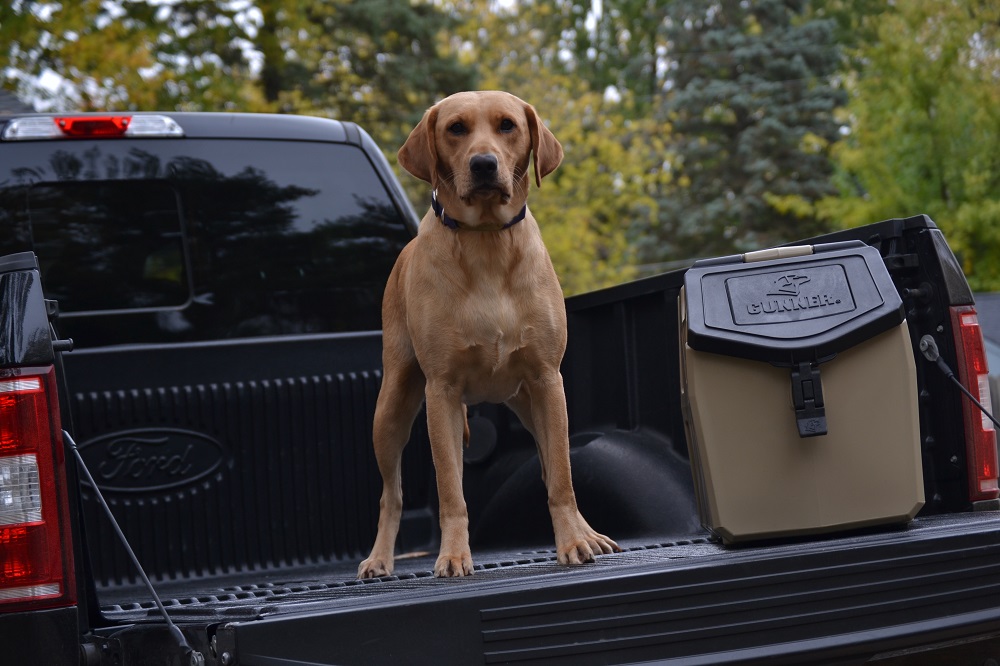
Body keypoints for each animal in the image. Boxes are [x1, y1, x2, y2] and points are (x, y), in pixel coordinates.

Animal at [352, 89, 616, 576]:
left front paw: (575, 541)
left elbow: (562, 477)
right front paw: (454, 554)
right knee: (391, 494)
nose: (483, 164)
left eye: (507, 125)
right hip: (392, 407)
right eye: (455, 128)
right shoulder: (441, 390)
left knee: (550, 467)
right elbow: (450, 491)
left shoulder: (547, 380)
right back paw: (380, 558)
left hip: (529, 403)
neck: (488, 240)